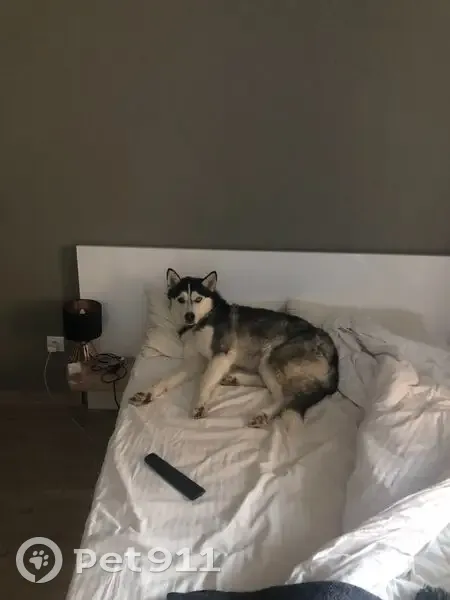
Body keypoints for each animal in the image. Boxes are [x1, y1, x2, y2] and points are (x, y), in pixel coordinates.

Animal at [130, 269, 339, 427]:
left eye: (198, 299)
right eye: (181, 299)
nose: (189, 316)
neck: (203, 321)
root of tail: (333, 352)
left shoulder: (222, 354)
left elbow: (205, 380)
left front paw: (199, 404)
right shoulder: (195, 361)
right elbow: (166, 379)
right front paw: (148, 393)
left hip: (272, 355)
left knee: (285, 397)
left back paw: (263, 414)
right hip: (266, 362)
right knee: (269, 385)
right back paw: (234, 379)